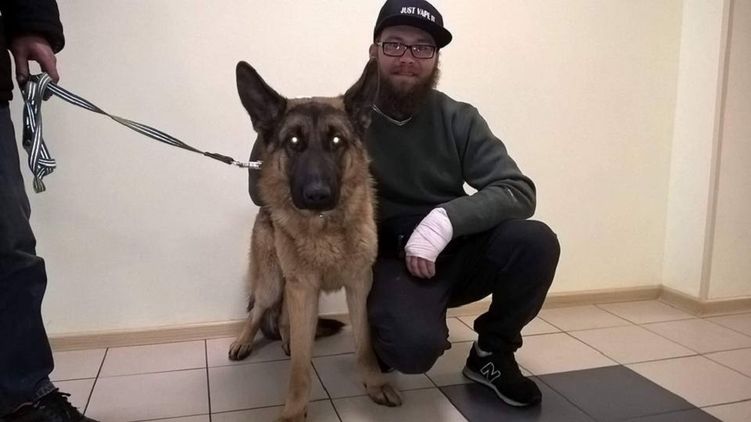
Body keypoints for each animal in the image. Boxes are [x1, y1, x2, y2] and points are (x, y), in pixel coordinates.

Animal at [227, 60, 401, 421]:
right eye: (294, 141)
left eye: (336, 140)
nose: (317, 195)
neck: (324, 228)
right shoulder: (303, 288)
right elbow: (299, 367)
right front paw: (294, 410)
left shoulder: (358, 285)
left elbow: (364, 342)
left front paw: (374, 383)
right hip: (273, 282)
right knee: (258, 309)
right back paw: (245, 341)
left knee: (282, 319)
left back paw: (286, 337)